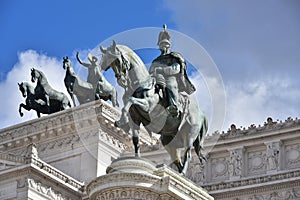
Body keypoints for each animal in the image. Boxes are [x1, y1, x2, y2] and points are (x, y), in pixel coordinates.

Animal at [99, 41, 207, 175]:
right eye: (109, 64)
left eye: (117, 60)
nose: (121, 80)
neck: (140, 83)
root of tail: (201, 113)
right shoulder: (135, 118)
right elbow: (135, 139)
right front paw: (136, 157)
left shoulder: (148, 107)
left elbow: (130, 101)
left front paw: (122, 121)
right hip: (169, 140)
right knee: (177, 160)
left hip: (190, 133)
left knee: (188, 153)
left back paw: (182, 173)